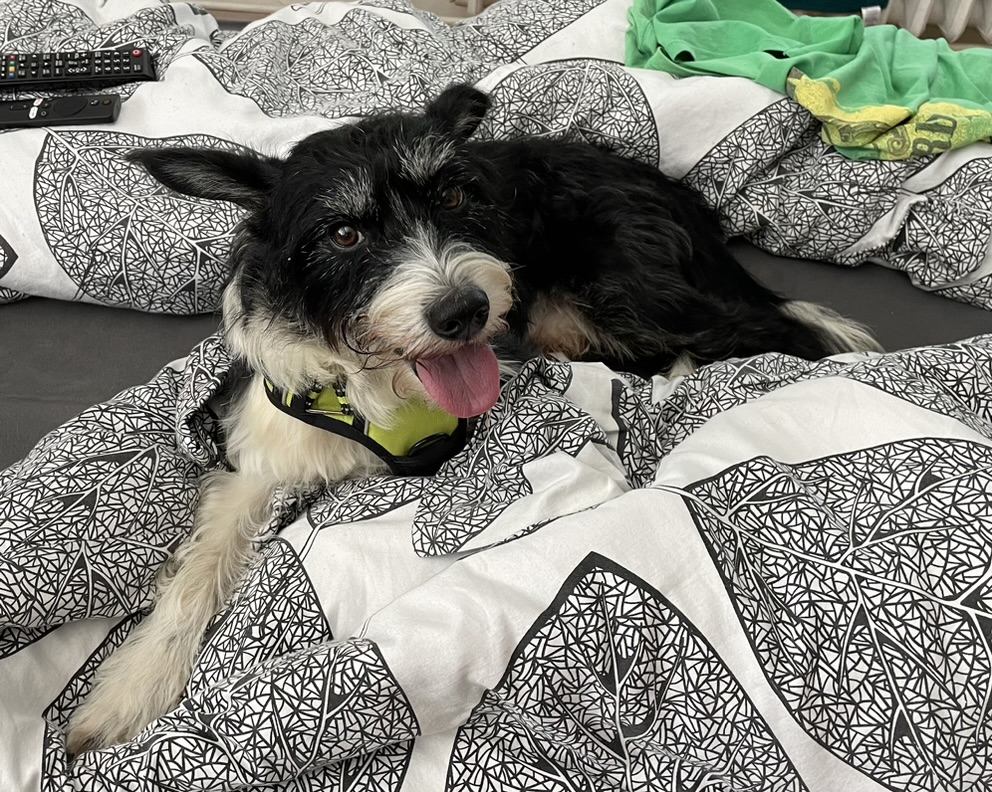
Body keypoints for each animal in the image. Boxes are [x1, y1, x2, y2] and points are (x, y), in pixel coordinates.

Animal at [65, 84, 881, 754]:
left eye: (454, 198)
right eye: (344, 234)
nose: (463, 312)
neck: (381, 380)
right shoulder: (264, 453)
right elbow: (197, 574)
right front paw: (128, 691)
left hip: (615, 294)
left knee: (770, 334)